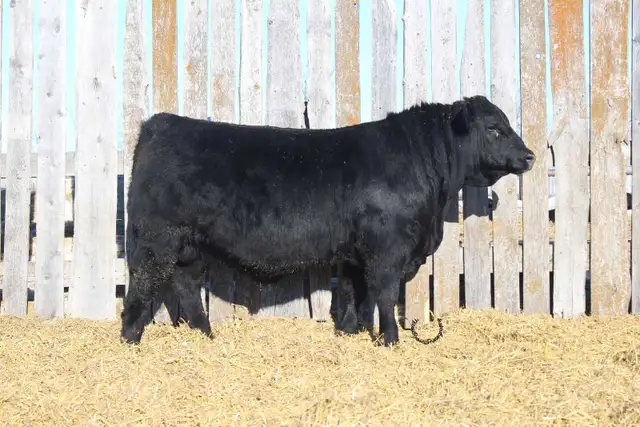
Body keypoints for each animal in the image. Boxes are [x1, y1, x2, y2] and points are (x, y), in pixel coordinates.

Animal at [120, 95, 535, 347]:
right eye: (494, 128)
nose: (530, 155)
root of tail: (160, 123)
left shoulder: (355, 253)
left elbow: (354, 294)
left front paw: (351, 334)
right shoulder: (387, 250)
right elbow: (384, 294)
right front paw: (390, 340)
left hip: (189, 245)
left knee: (188, 287)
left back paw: (206, 337)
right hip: (156, 240)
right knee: (141, 285)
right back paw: (130, 339)